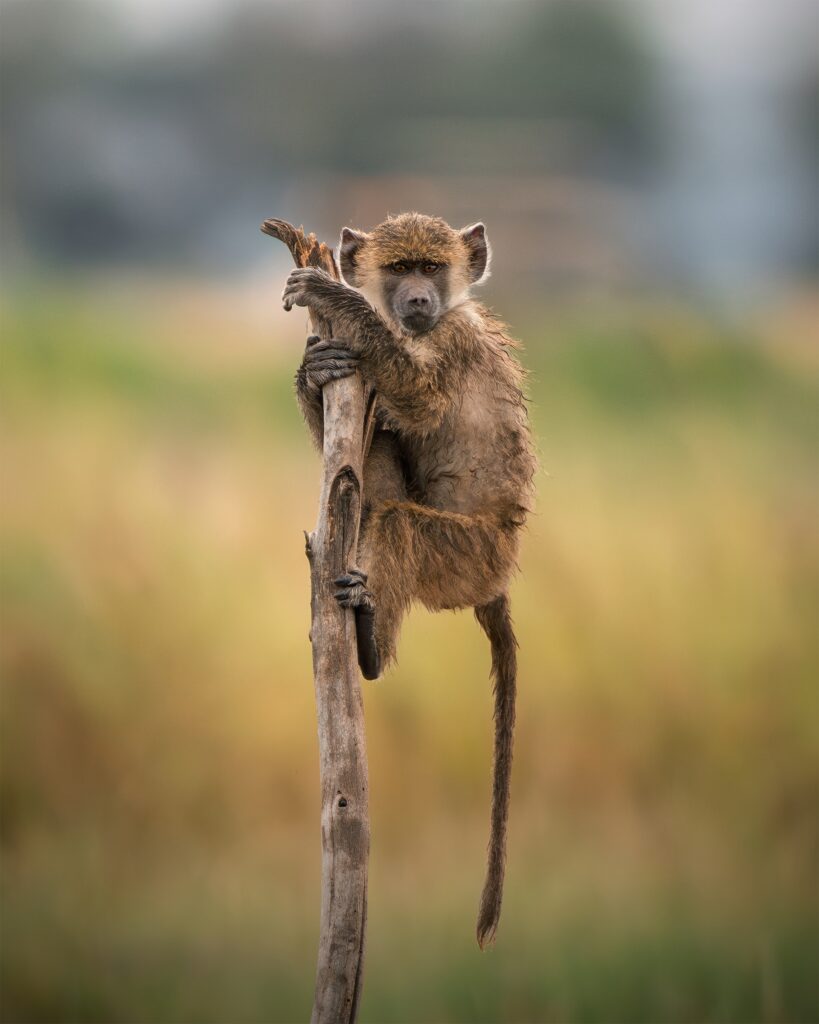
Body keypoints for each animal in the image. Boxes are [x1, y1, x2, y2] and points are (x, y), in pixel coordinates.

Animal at [284, 212, 536, 949]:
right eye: (400, 269)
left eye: (431, 266)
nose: (417, 301)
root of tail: (500, 576)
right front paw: (314, 371)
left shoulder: (446, 344)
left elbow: (421, 401)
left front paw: (337, 300)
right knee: (376, 477)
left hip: (467, 558)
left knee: (395, 519)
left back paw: (368, 644)